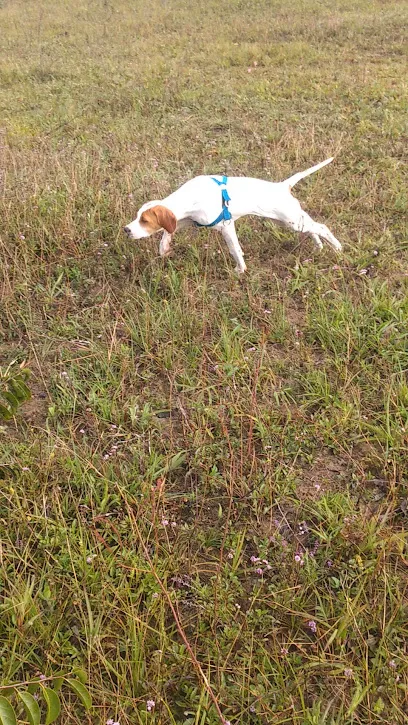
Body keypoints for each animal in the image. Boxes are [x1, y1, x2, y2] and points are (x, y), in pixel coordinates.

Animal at [124, 157, 342, 272]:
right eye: (137, 217)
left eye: (144, 220)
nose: (126, 230)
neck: (190, 196)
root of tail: (281, 186)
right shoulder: (186, 220)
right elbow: (166, 233)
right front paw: (164, 249)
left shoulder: (226, 226)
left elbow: (235, 249)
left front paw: (240, 270)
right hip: (289, 221)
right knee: (313, 228)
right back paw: (319, 246)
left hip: (291, 220)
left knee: (322, 227)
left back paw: (337, 248)